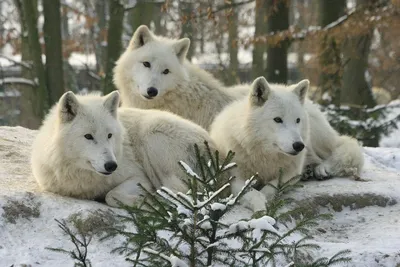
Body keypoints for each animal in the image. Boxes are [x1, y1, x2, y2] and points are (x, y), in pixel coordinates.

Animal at [211, 77, 364, 197]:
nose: (299, 146)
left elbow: (270, 188)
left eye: (297, 120)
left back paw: (322, 169)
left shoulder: (291, 173)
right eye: (278, 119)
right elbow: (252, 194)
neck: (266, 154)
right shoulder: (236, 179)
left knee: (342, 148)